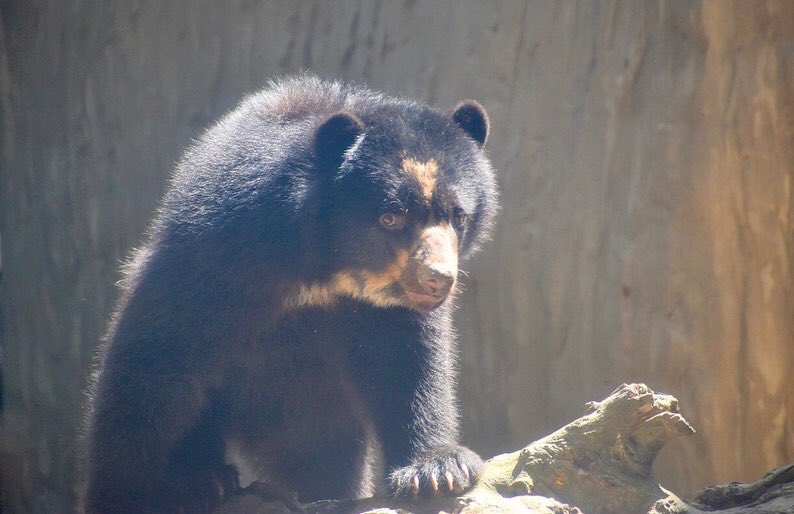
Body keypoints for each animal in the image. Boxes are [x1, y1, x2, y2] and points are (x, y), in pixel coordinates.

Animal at [83, 74, 498, 510]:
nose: (437, 278)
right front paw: (138, 492)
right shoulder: (215, 262)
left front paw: (438, 470)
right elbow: (154, 367)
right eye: (391, 217)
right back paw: (204, 479)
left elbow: (409, 364)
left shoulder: (388, 310)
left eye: (458, 216)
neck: (327, 268)